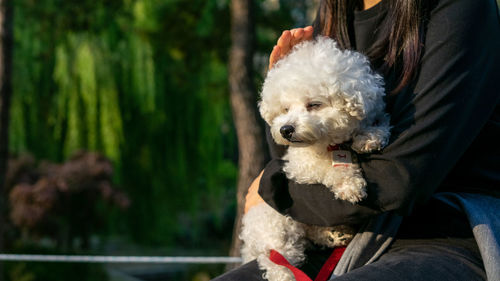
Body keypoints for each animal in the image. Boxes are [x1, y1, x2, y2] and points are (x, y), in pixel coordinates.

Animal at [240, 37, 392, 280]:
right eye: (285, 109)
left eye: (314, 104)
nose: (285, 130)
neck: (331, 144)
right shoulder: (300, 168)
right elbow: (326, 170)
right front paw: (348, 183)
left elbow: (378, 124)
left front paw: (369, 137)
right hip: (277, 228)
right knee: (279, 261)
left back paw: (334, 235)